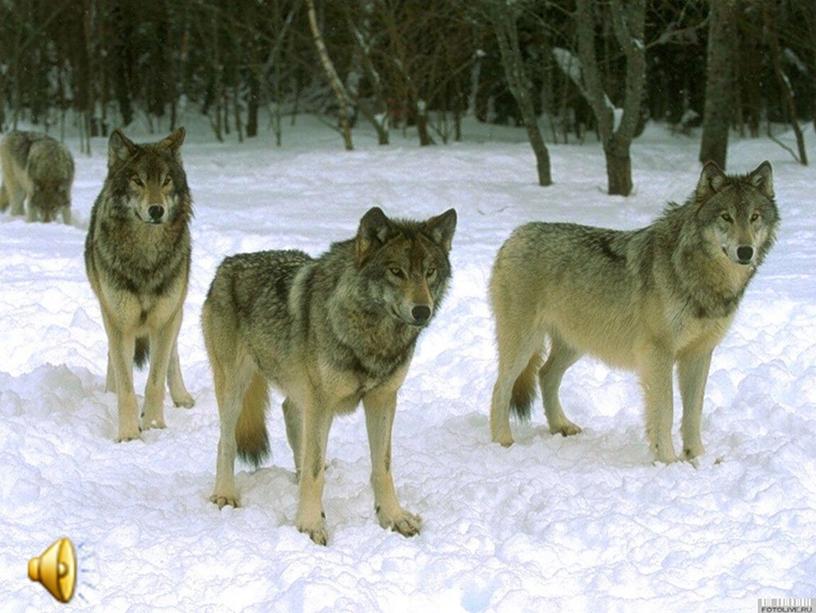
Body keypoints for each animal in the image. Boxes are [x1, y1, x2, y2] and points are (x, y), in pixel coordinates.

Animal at [85, 128, 196, 440]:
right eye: (138, 181)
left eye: (166, 180)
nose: (156, 210)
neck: (146, 257)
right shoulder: (119, 320)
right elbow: (125, 384)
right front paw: (129, 434)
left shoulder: (165, 319)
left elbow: (155, 380)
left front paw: (155, 425)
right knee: (113, 358)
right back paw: (109, 392)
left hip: (175, 311)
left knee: (172, 355)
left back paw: (181, 397)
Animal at [203, 207, 456, 544]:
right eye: (396, 271)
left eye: (430, 272)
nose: (422, 311)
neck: (372, 336)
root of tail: (227, 263)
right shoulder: (322, 403)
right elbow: (315, 475)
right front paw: (310, 525)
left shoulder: (382, 400)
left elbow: (382, 468)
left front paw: (393, 517)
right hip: (236, 388)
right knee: (226, 441)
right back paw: (225, 494)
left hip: (299, 391)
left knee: (292, 419)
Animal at [488, 160, 780, 462]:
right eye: (726, 217)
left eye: (754, 217)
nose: (745, 251)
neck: (698, 275)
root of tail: (514, 235)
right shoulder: (658, 353)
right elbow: (665, 411)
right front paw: (668, 461)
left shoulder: (699, 354)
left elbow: (693, 413)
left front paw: (698, 458)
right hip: (524, 344)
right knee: (500, 387)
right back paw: (503, 441)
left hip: (575, 344)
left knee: (545, 375)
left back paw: (561, 426)